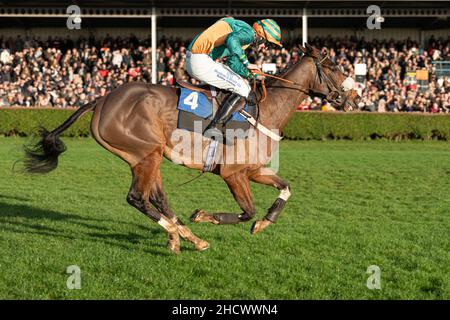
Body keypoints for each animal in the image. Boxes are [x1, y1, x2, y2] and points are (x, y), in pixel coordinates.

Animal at [21, 44, 360, 255]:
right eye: (333, 66)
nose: (355, 96)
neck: (265, 111)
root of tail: (102, 100)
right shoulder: (233, 174)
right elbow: (246, 211)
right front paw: (203, 216)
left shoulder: (254, 170)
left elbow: (286, 188)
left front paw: (265, 222)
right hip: (145, 153)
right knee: (137, 198)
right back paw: (183, 234)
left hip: (147, 157)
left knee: (157, 197)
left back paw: (184, 237)